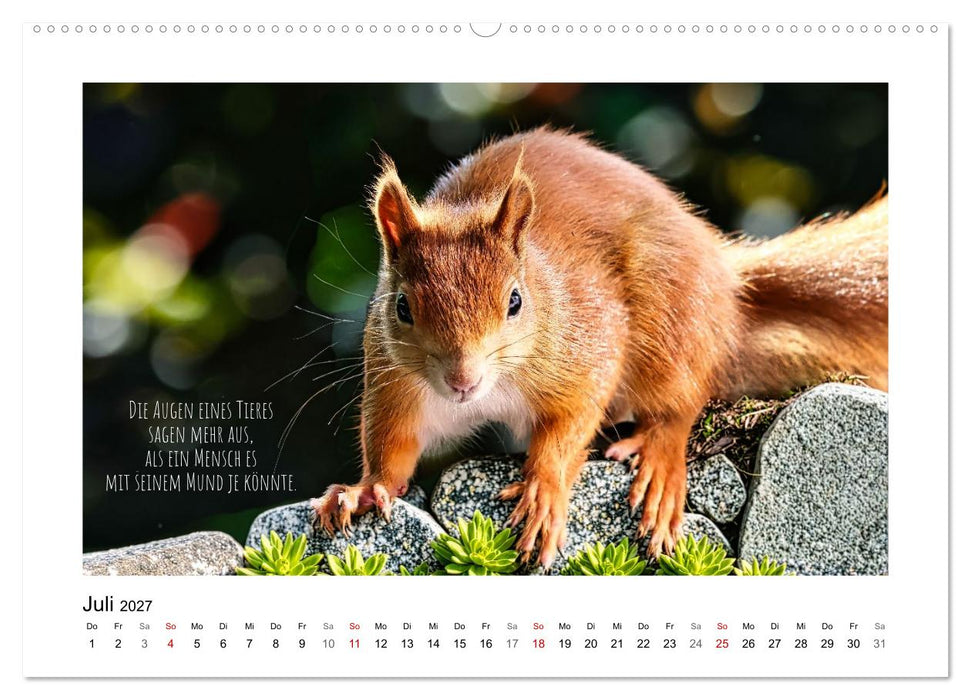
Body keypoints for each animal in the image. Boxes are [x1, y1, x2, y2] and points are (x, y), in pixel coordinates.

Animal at [312, 126, 888, 568]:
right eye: (402, 306)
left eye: (515, 301)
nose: (462, 380)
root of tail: (726, 284)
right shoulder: (396, 387)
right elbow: (394, 449)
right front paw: (364, 490)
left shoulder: (587, 344)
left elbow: (571, 423)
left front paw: (544, 490)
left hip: (669, 322)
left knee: (682, 402)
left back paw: (659, 459)